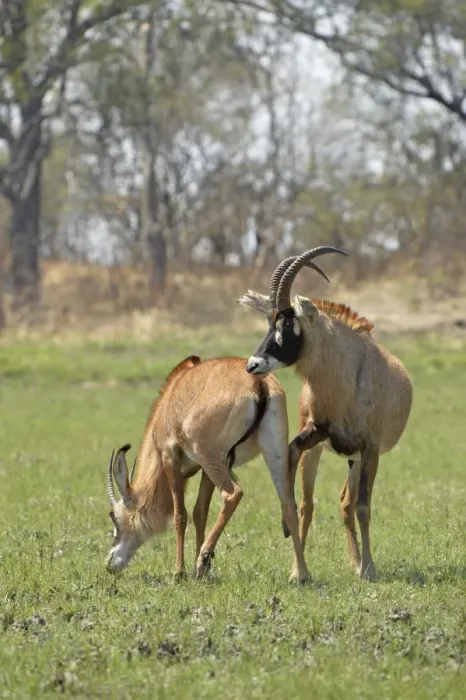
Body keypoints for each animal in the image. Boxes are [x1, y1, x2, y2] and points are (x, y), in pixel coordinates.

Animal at [105, 354, 310, 582]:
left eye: (113, 516)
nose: (109, 564)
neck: (170, 397)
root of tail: (257, 383)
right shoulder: (206, 470)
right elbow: (200, 512)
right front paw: (200, 573)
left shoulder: (170, 458)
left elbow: (180, 515)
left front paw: (180, 572)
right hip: (270, 453)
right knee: (288, 503)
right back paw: (301, 574)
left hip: (210, 457)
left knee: (233, 494)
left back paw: (203, 556)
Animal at [238, 246, 413, 581]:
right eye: (269, 321)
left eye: (287, 324)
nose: (253, 365)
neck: (346, 374)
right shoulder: (315, 432)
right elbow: (294, 457)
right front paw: (291, 546)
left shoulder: (370, 448)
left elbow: (363, 507)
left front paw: (369, 569)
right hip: (329, 452)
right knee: (313, 504)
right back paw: (302, 569)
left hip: (356, 458)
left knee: (349, 503)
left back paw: (358, 564)